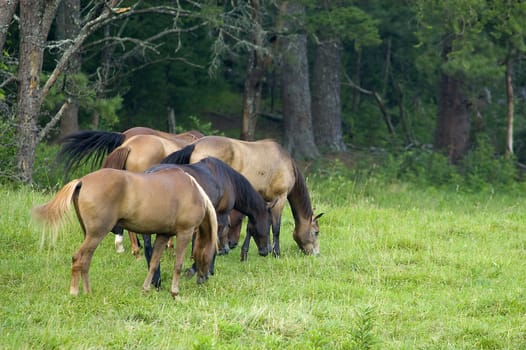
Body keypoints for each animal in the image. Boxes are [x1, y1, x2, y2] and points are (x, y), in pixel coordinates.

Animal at [32, 165, 218, 296]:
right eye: (212, 254)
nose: (204, 278)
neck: (192, 190)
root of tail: (82, 181)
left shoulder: (163, 235)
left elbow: (153, 263)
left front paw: (145, 289)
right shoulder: (185, 233)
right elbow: (177, 265)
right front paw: (175, 293)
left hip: (90, 235)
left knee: (86, 261)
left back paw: (88, 292)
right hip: (96, 234)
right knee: (78, 258)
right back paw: (74, 292)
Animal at [144, 157, 272, 288]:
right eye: (269, 224)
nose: (265, 251)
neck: (228, 180)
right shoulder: (219, 218)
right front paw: (202, 272)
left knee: (149, 249)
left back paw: (155, 280)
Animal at [163, 135, 324, 256]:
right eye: (316, 232)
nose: (316, 253)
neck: (285, 162)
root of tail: (195, 145)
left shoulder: (262, 202)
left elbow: (254, 226)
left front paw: (248, 251)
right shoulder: (280, 198)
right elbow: (276, 227)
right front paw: (276, 252)